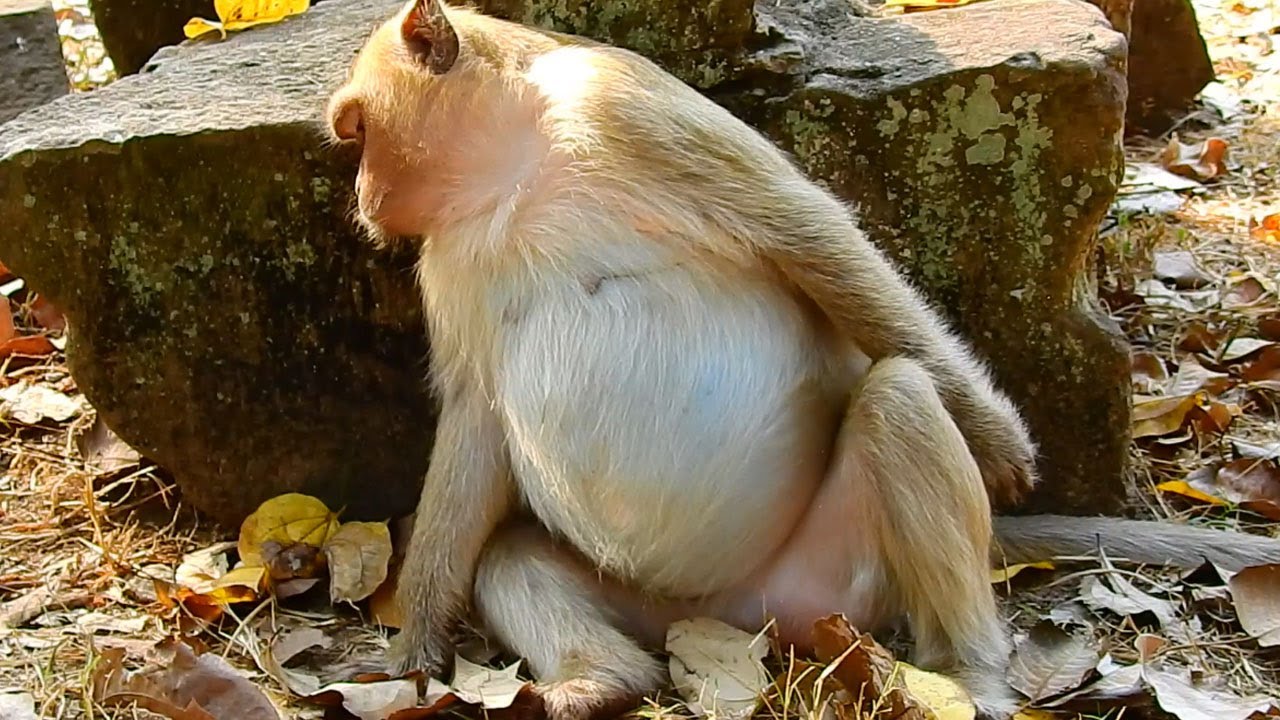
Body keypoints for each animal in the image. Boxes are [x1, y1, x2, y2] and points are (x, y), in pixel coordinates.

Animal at [324, 2, 1280, 718]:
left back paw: (971, 673)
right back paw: (602, 682)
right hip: (670, 607)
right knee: (513, 559)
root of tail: (752, 616)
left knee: (898, 399)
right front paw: (417, 644)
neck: (512, 172)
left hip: (847, 577)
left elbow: (815, 238)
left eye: (358, 131)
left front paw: (1000, 440)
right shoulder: (448, 257)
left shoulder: (624, 107)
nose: (363, 198)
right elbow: (476, 412)